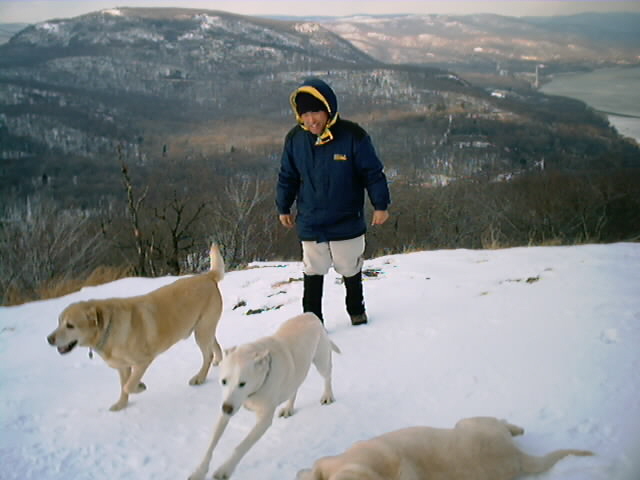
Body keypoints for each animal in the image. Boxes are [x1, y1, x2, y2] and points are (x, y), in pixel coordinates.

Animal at [46, 246, 225, 410]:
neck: (109, 328)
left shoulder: (143, 361)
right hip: (203, 328)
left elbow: (128, 385)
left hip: (202, 331)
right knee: (215, 345)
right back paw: (218, 360)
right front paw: (121, 404)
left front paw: (140, 387)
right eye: (59, 321)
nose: (49, 339)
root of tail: (207, 276)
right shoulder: (123, 367)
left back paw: (200, 377)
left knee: (207, 355)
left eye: (70, 325)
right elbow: (123, 386)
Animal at [189, 312, 340, 480]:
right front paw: (199, 471)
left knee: (327, 375)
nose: (227, 409)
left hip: (321, 361)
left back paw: (327, 395)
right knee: (294, 387)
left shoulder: (263, 420)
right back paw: (288, 408)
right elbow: (211, 443)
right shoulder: (227, 406)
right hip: (297, 373)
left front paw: (225, 469)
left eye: (242, 383)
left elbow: (242, 445)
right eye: (223, 381)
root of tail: (310, 315)